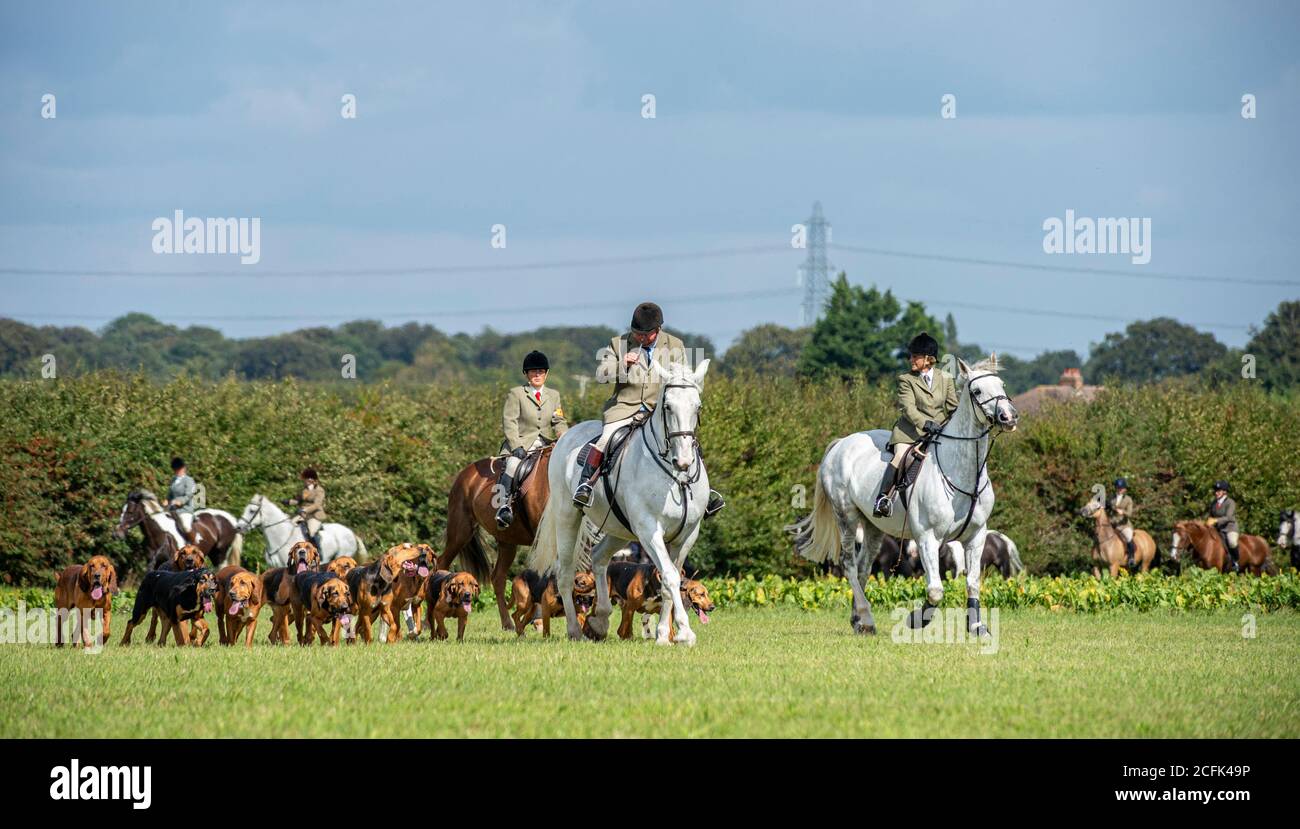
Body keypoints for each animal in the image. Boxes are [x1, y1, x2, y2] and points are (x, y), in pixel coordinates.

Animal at [439, 446, 556, 628]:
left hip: (507, 541)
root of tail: (465, 472)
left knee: (498, 578)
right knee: (442, 562)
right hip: (459, 533)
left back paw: (507, 623)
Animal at [525, 361, 712, 647]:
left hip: (619, 530)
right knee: (565, 573)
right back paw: (575, 630)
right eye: (668, 406)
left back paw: (599, 620)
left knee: (599, 557)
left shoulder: (687, 535)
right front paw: (685, 632)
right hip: (568, 517)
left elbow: (672, 580)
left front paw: (664, 634)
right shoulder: (649, 531)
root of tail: (566, 436)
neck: (675, 477)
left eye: (697, 406)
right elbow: (670, 576)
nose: (683, 461)